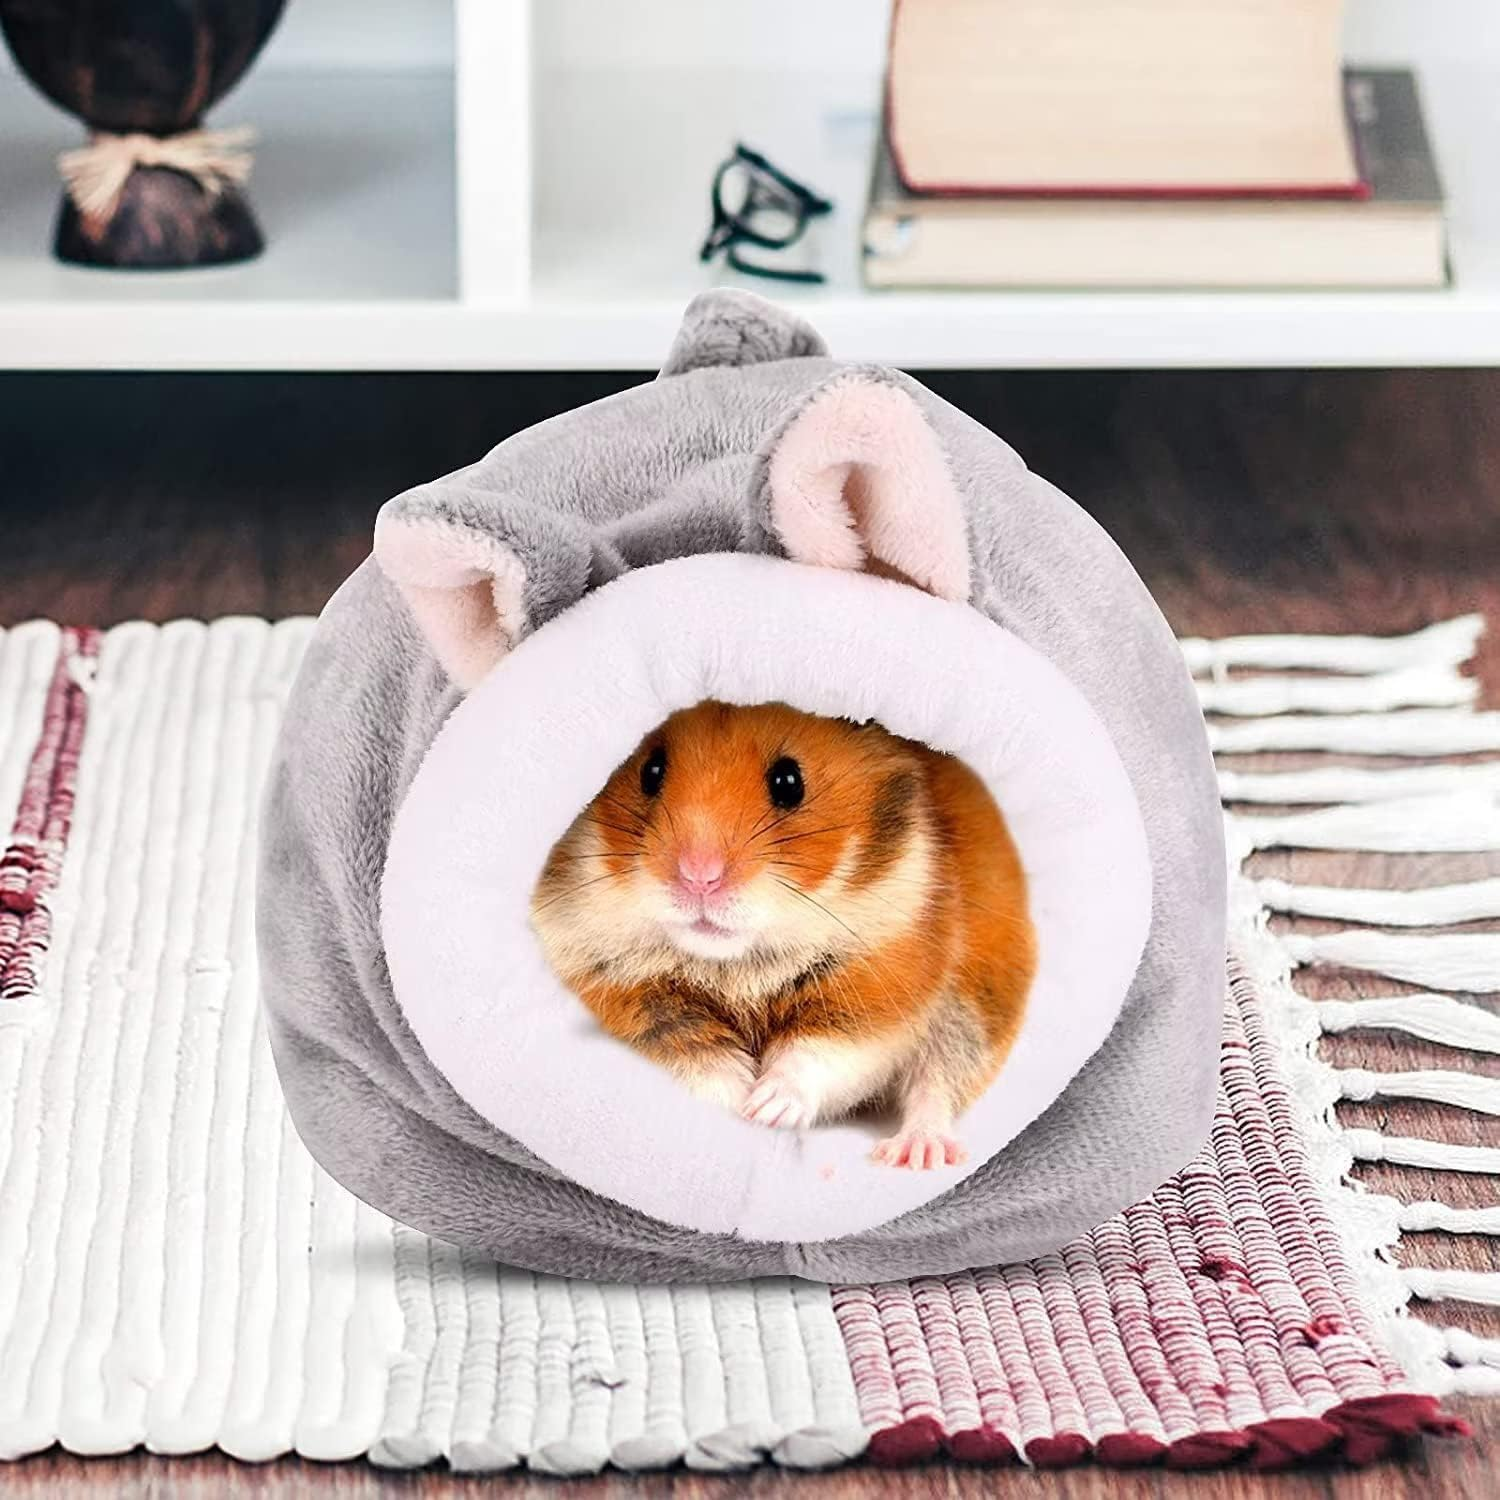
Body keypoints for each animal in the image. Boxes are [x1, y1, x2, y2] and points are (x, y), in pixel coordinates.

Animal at [530, 701, 1037, 1169]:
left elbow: (818, 1054)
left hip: (976, 1005)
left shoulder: (877, 993)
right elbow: (694, 1057)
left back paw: (916, 1153)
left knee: (938, 1084)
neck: (736, 963)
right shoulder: (623, 992)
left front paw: (766, 1109)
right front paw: (739, 1108)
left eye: (789, 781)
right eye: (650, 771)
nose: (699, 877)